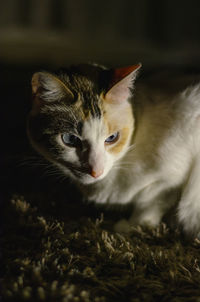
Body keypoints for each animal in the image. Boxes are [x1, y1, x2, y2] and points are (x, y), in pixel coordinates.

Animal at [27, 62, 200, 236]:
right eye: (70, 139)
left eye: (112, 138)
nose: (95, 171)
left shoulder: (169, 181)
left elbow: (149, 206)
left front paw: (130, 227)